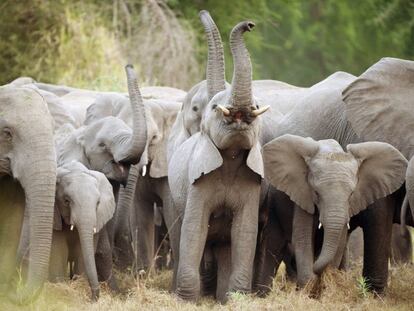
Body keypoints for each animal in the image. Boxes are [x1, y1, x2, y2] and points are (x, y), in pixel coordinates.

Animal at [169, 20, 272, 304]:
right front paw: (186, 301)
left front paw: (237, 300)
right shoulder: (197, 180)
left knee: (226, 244)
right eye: (215, 107)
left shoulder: (252, 184)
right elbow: (194, 228)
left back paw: (223, 296)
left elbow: (244, 232)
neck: (230, 157)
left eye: (257, 105)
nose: (250, 24)